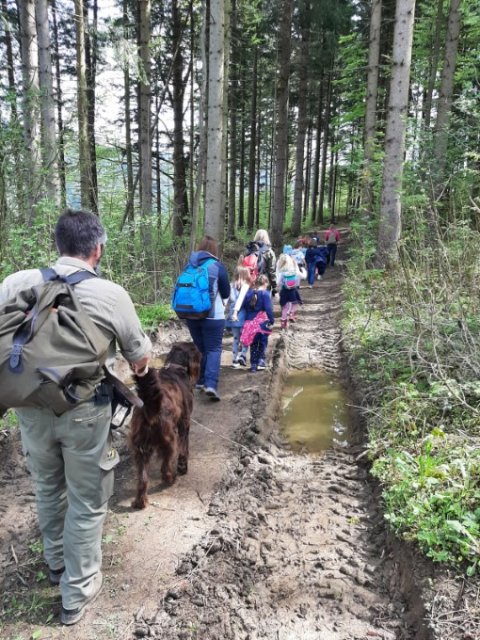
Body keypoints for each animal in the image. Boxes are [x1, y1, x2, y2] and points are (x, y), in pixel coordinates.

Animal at [128, 340, 200, 510]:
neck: (175, 367)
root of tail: (148, 409)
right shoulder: (184, 423)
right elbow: (184, 448)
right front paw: (183, 467)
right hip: (169, 440)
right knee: (164, 467)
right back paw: (171, 479)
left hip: (140, 450)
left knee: (142, 480)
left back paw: (139, 502)